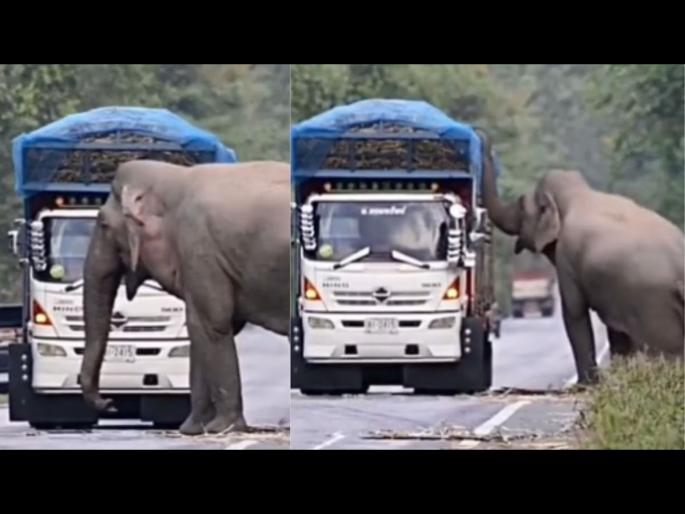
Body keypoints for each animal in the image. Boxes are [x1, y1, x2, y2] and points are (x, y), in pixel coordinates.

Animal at [79, 160, 290, 435]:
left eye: (103, 224)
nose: (110, 403)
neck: (175, 176)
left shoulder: (199, 249)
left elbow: (210, 324)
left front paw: (221, 428)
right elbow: (200, 328)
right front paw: (190, 429)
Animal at [478, 130, 684, 384]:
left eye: (521, 205)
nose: (480, 135)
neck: (579, 193)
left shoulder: (567, 256)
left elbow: (574, 313)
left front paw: (586, 384)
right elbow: (614, 329)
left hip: (653, 307)